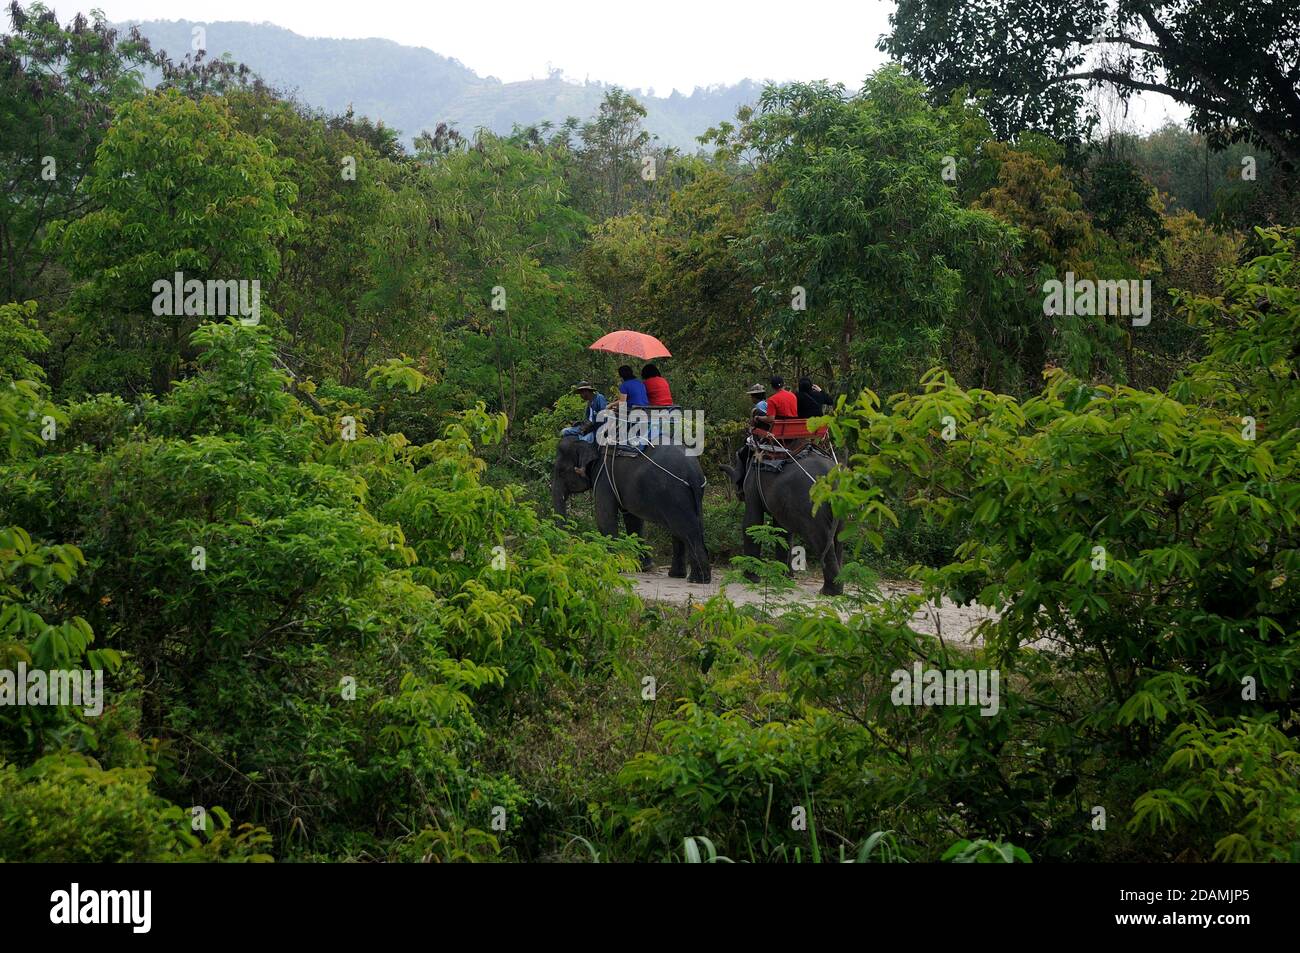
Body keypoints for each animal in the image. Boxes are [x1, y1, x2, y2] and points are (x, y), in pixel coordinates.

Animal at [550, 436, 711, 583]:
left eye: (561, 471)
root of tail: (694, 473)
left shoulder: (603, 476)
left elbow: (604, 516)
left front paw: (613, 567)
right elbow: (632, 518)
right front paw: (646, 568)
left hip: (674, 493)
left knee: (685, 529)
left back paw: (698, 580)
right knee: (683, 529)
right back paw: (678, 575)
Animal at [722, 447, 844, 595]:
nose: (738, 493)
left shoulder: (752, 483)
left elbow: (752, 523)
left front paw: (750, 579)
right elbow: (783, 530)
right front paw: (785, 578)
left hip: (814, 504)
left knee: (821, 539)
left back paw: (828, 592)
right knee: (839, 539)